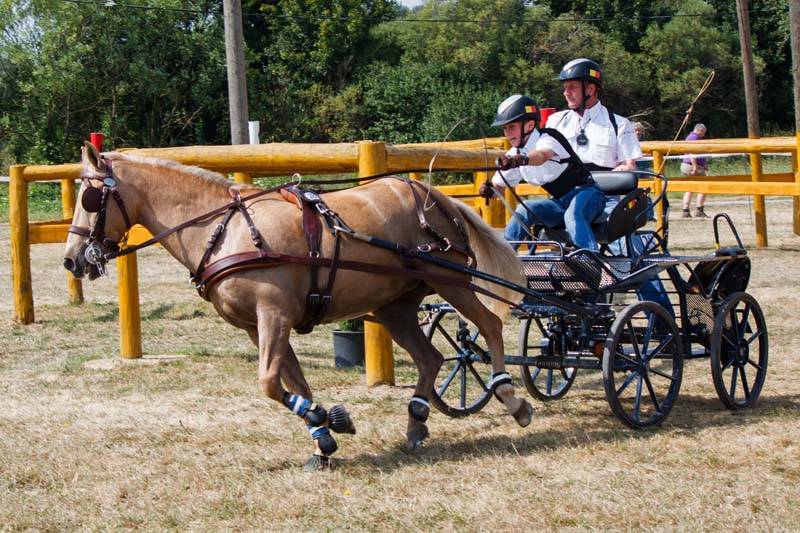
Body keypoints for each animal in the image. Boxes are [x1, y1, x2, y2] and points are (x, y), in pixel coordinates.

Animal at [63, 142, 531, 470]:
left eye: (90, 198)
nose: (71, 260)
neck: (224, 230)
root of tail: (428, 191)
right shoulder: (259, 326)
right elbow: (294, 383)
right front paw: (324, 433)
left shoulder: (274, 315)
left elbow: (269, 383)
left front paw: (327, 420)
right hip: (395, 306)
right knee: (431, 358)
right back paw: (416, 421)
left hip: (449, 279)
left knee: (489, 326)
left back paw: (512, 397)